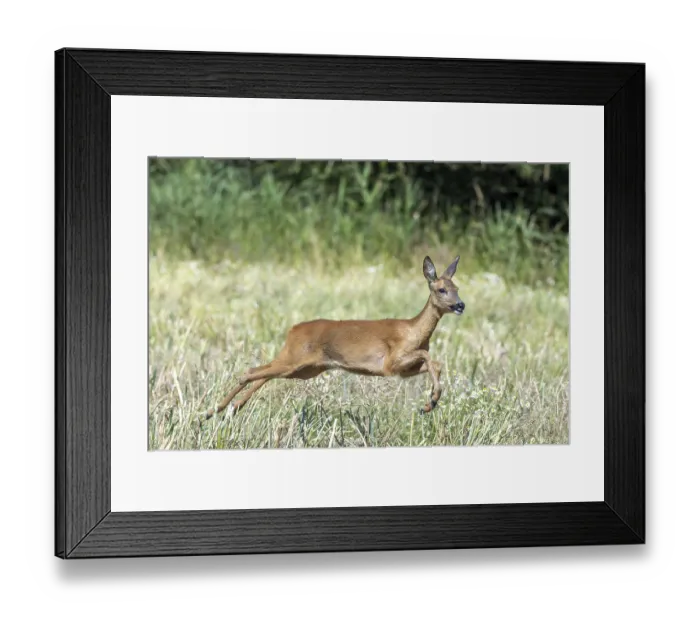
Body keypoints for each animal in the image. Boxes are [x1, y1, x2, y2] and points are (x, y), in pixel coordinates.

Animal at [203, 255, 464, 419]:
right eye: (441, 289)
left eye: (457, 288)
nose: (461, 305)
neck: (414, 331)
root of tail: (292, 330)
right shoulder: (391, 362)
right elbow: (430, 358)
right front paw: (431, 401)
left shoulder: (402, 369)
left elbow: (433, 363)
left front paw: (429, 403)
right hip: (295, 360)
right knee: (250, 372)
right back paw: (214, 410)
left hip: (304, 368)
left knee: (262, 373)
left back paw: (226, 409)